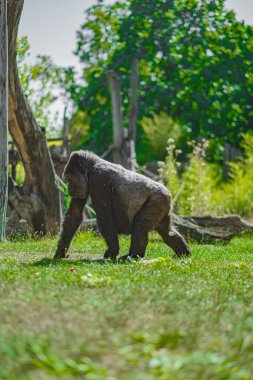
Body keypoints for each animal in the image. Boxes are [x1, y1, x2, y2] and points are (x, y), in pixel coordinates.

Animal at [54, 150, 191, 260]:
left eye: (70, 180)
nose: (69, 189)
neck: (92, 165)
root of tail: (168, 194)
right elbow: (75, 215)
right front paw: (60, 251)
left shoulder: (98, 178)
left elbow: (105, 217)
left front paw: (112, 252)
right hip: (164, 204)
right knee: (167, 232)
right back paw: (184, 252)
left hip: (158, 199)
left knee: (140, 225)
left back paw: (134, 255)